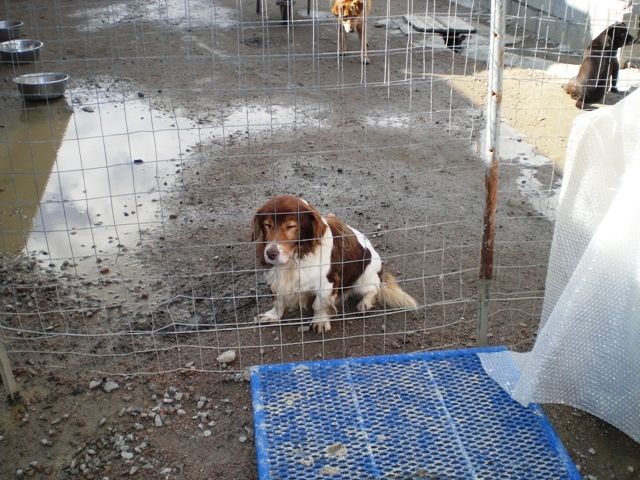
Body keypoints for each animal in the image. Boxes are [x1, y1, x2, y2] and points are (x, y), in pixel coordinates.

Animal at [252, 195, 417, 333]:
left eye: (291, 226)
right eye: (267, 225)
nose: (270, 254)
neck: (297, 256)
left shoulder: (327, 283)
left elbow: (319, 304)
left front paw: (320, 321)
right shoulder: (275, 277)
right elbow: (278, 301)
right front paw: (273, 316)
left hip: (364, 279)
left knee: (374, 289)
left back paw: (365, 302)